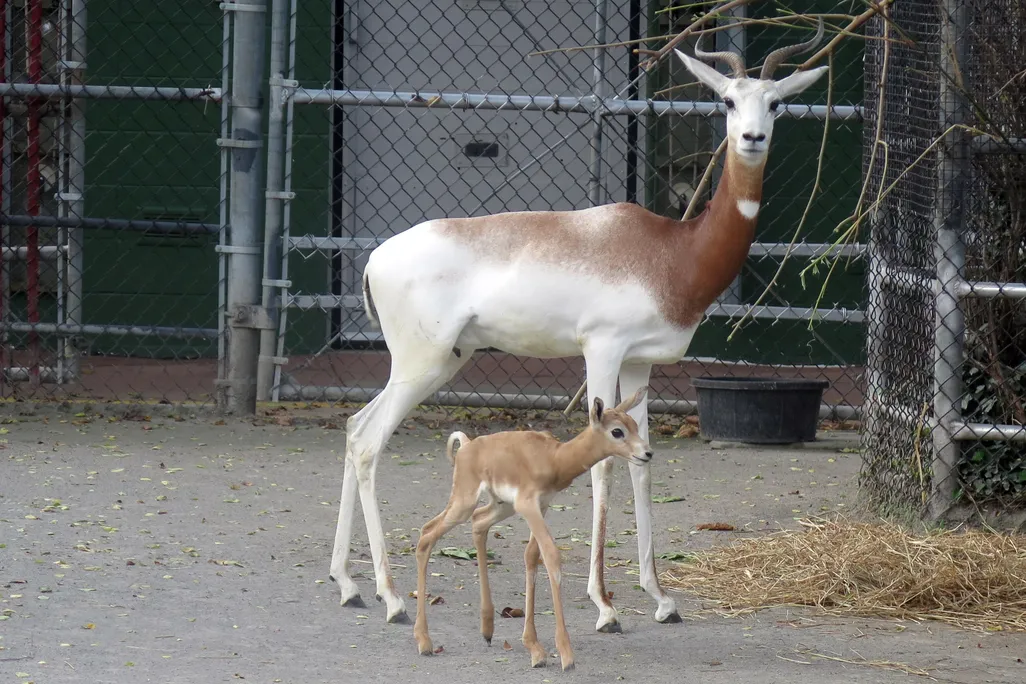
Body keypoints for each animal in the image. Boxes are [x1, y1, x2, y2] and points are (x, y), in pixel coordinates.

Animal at [329, 21, 827, 632]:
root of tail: (375, 259)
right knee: (369, 442)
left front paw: (660, 597)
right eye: (728, 100)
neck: (669, 253)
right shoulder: (602, 350)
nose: (753, 137)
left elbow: (641, 465)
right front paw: (605, 605)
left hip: (440, 362)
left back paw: (349, 584)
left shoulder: (640, 362)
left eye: (776, 102)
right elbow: (603, 467)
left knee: (354, 427)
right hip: (421, 363)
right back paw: (392, 597)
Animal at [413, 389, 652, 671]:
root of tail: (467, 446)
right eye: (617, 431)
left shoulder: (543, 504)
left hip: (500, 506)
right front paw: (565, 655)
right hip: (464, 501)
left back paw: (487, 630)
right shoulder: (528, 505)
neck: (554, 458)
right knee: (427, 534)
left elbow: (531, 557)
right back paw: (424, 641)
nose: (647, 453)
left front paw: (534, 647)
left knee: (478, 522)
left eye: (635, 425)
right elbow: (551, 556)